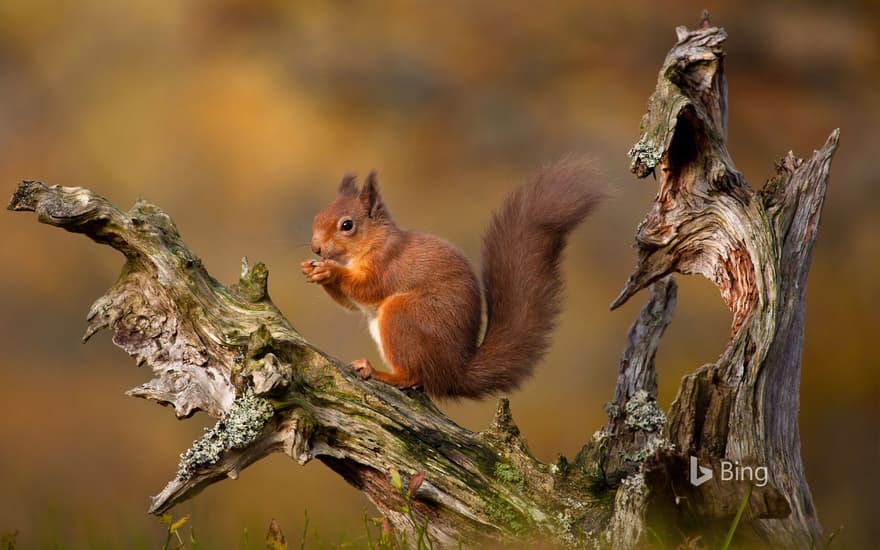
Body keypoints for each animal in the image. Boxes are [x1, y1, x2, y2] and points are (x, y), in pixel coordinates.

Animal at [304, 161, 604, 402]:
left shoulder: (388, 265)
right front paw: (313, 270)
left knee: (412, 376)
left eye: (347, 225)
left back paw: (379, 373)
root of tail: (453, 373)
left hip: (403, 315)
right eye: (317, 217)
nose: (316, 248)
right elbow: (351, 304)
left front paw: (331, 271)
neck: (373, 244)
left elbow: (368, 288)